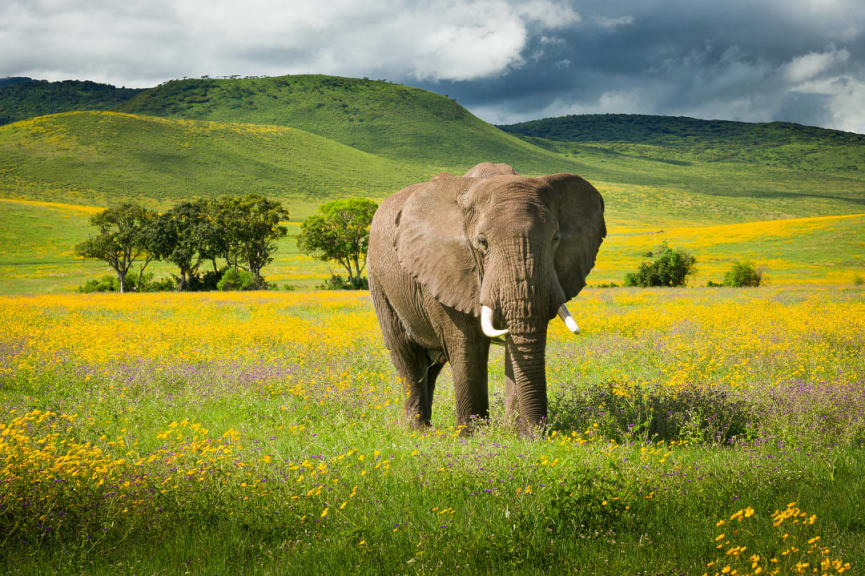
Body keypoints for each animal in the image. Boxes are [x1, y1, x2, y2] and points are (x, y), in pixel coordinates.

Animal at [368, 161, 604, 432]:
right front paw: (474, 435)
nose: (537, 434)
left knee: (432, 364)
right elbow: (467, 344)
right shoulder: (447, 269)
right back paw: (418, 432)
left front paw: (513, 432)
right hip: (379, 283)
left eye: (555, 239)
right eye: (483, 243)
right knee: (408, 357)